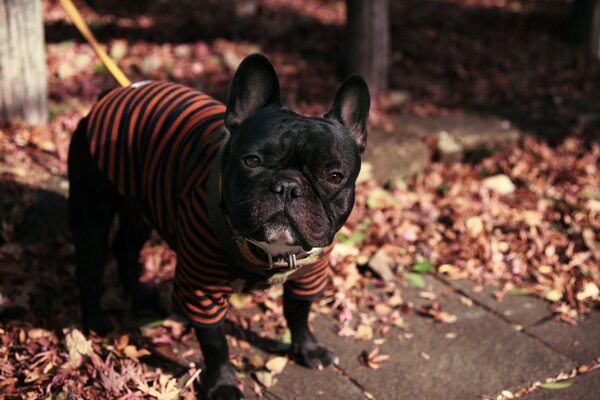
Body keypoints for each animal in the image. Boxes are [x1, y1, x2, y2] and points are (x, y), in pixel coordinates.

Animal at [67, 54, 370, 400]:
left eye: (334, 176)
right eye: (252, 161)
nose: (288, 186)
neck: (269, 251)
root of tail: (113, 94)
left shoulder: (309, 274)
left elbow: (299, 311)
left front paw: (308, 348)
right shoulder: (202, 288)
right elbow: (215, 343)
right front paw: (223, 383)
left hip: (140, 206)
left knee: (125, 249)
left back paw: (141, 297)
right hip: (92, 210)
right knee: (90, 265)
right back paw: (95, 320)